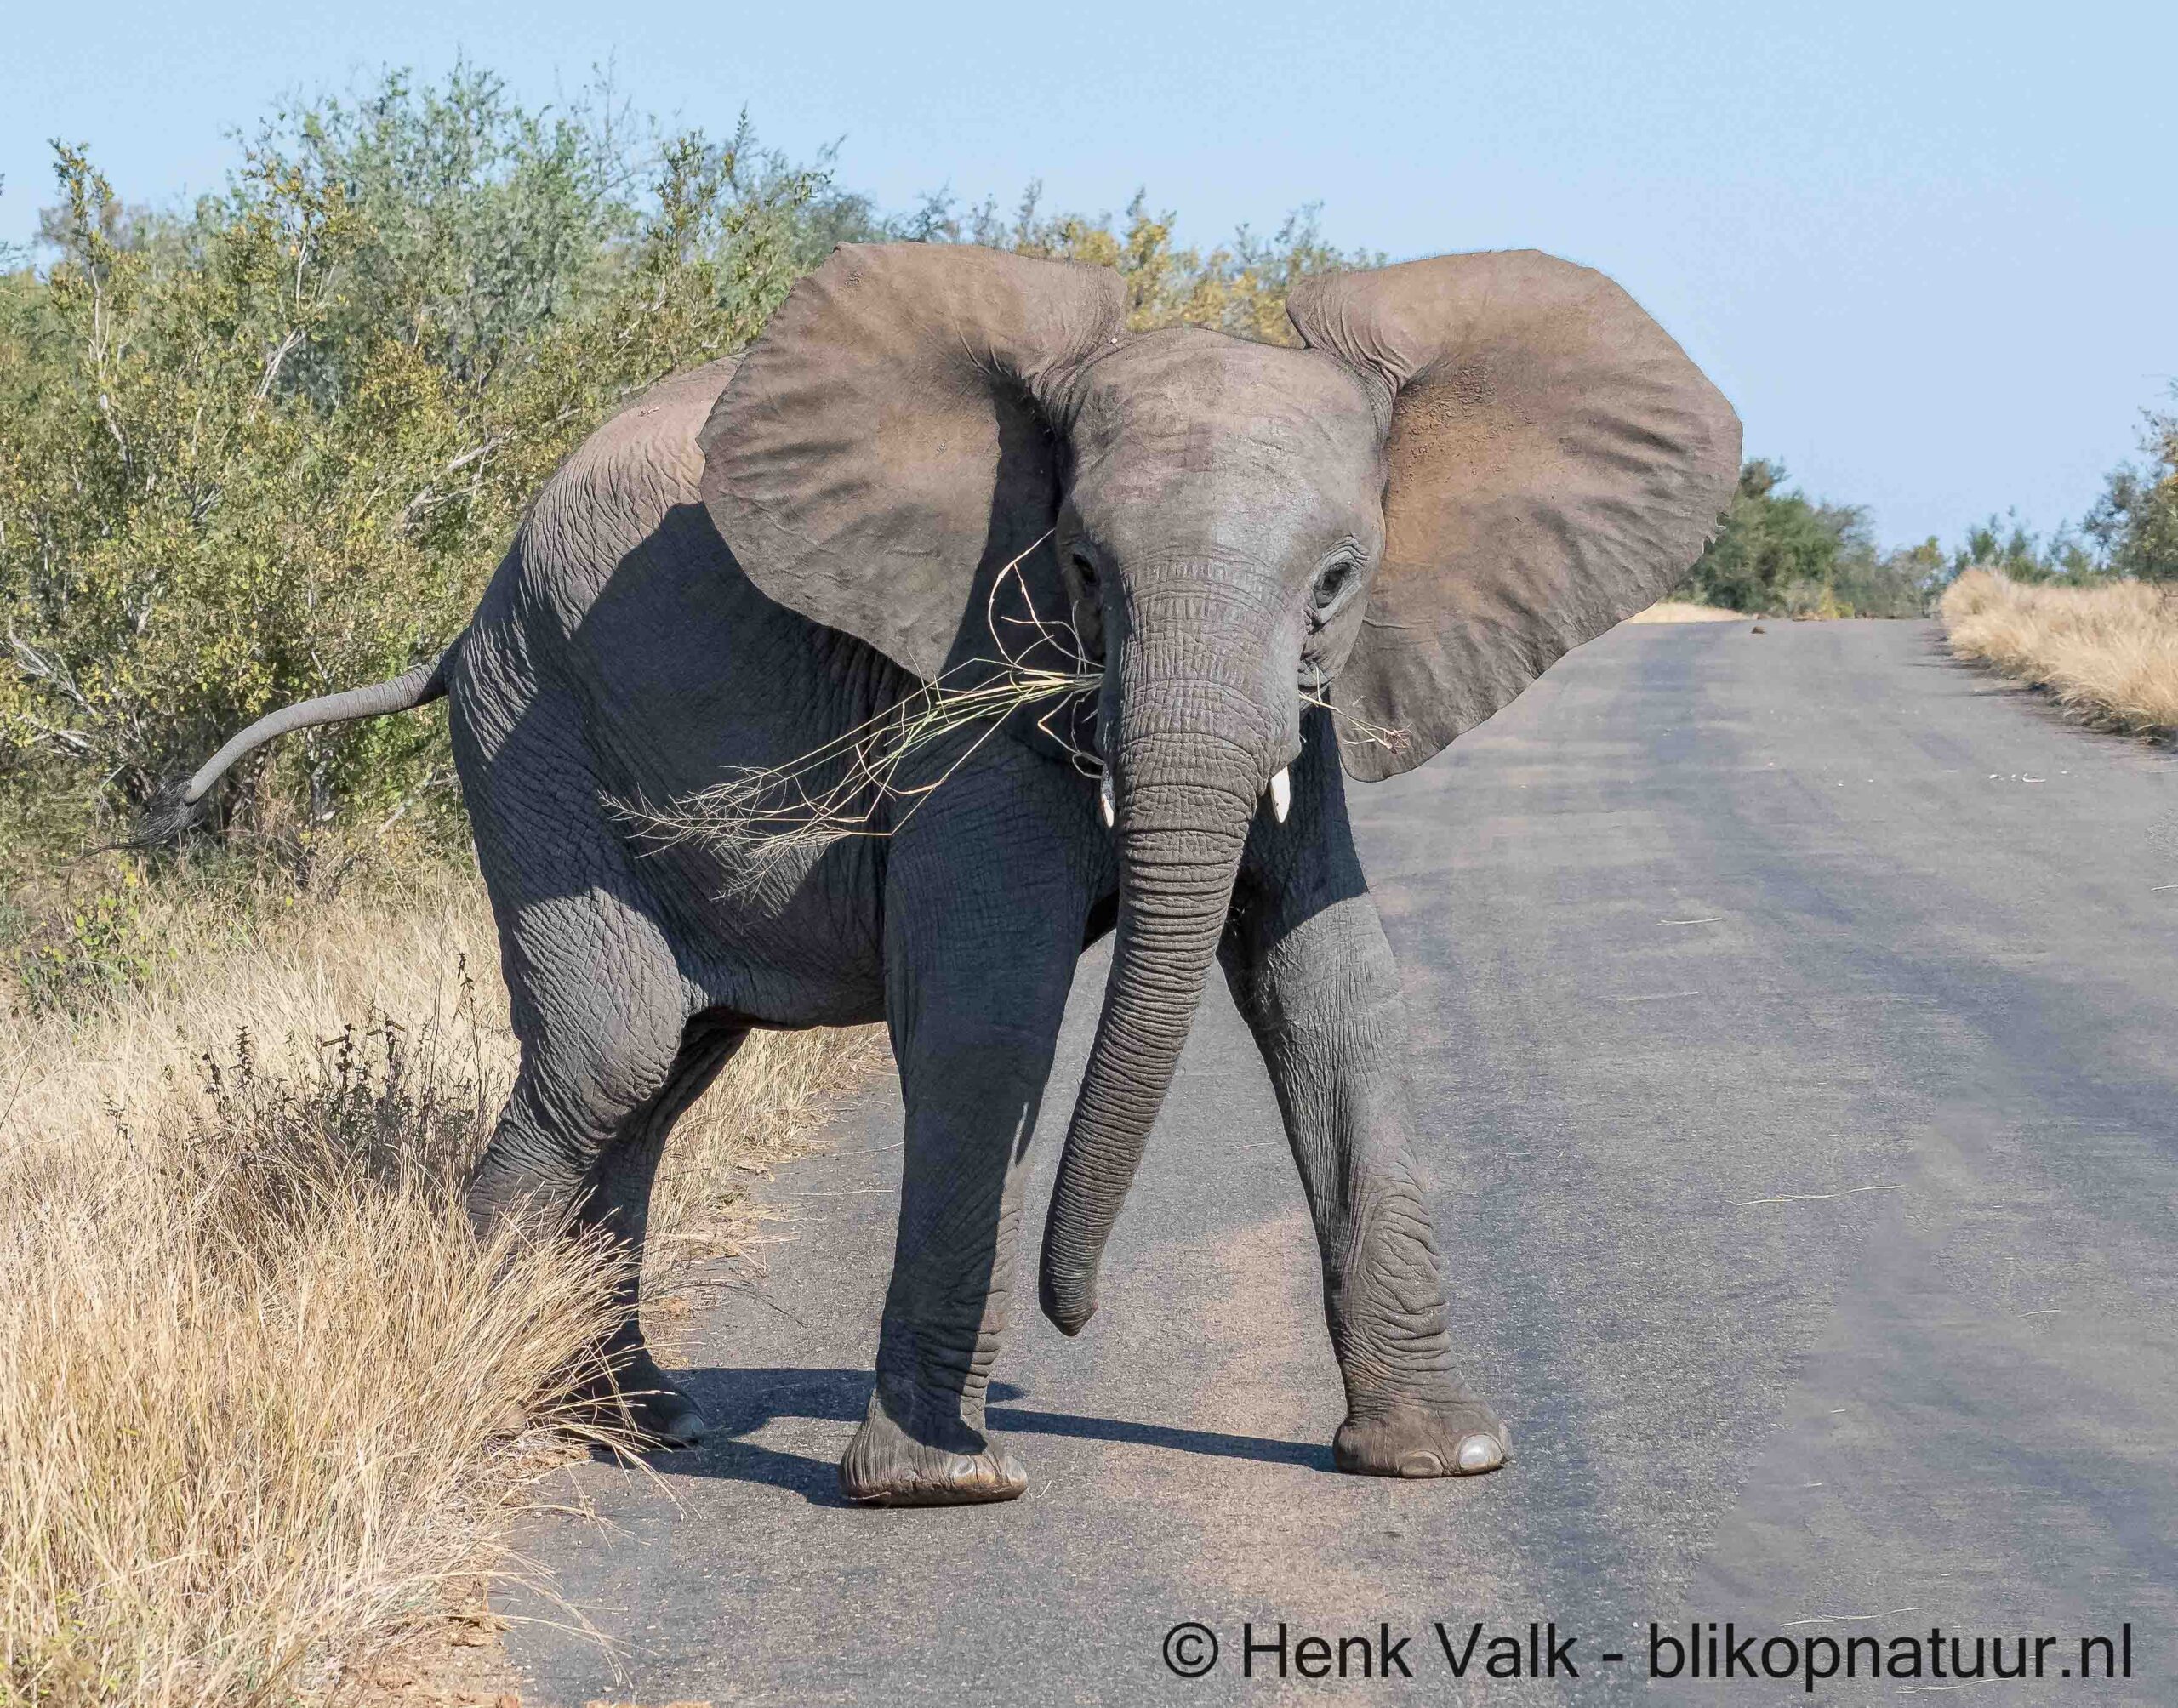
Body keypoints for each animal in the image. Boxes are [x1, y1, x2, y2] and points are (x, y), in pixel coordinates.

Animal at [173, 242, 1738, 1506]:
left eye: (1338, 582)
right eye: (1083, 571)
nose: (1077, 1317)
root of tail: (462, 623)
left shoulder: (1314, 720)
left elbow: (1331, 988)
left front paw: (1441, 1458)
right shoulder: (966, 683)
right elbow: (991, 1012)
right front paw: (945, 1481)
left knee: (657, 1081)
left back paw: (639, 1419)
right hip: (535, 728)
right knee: (607, 1058)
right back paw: (516, 1392)